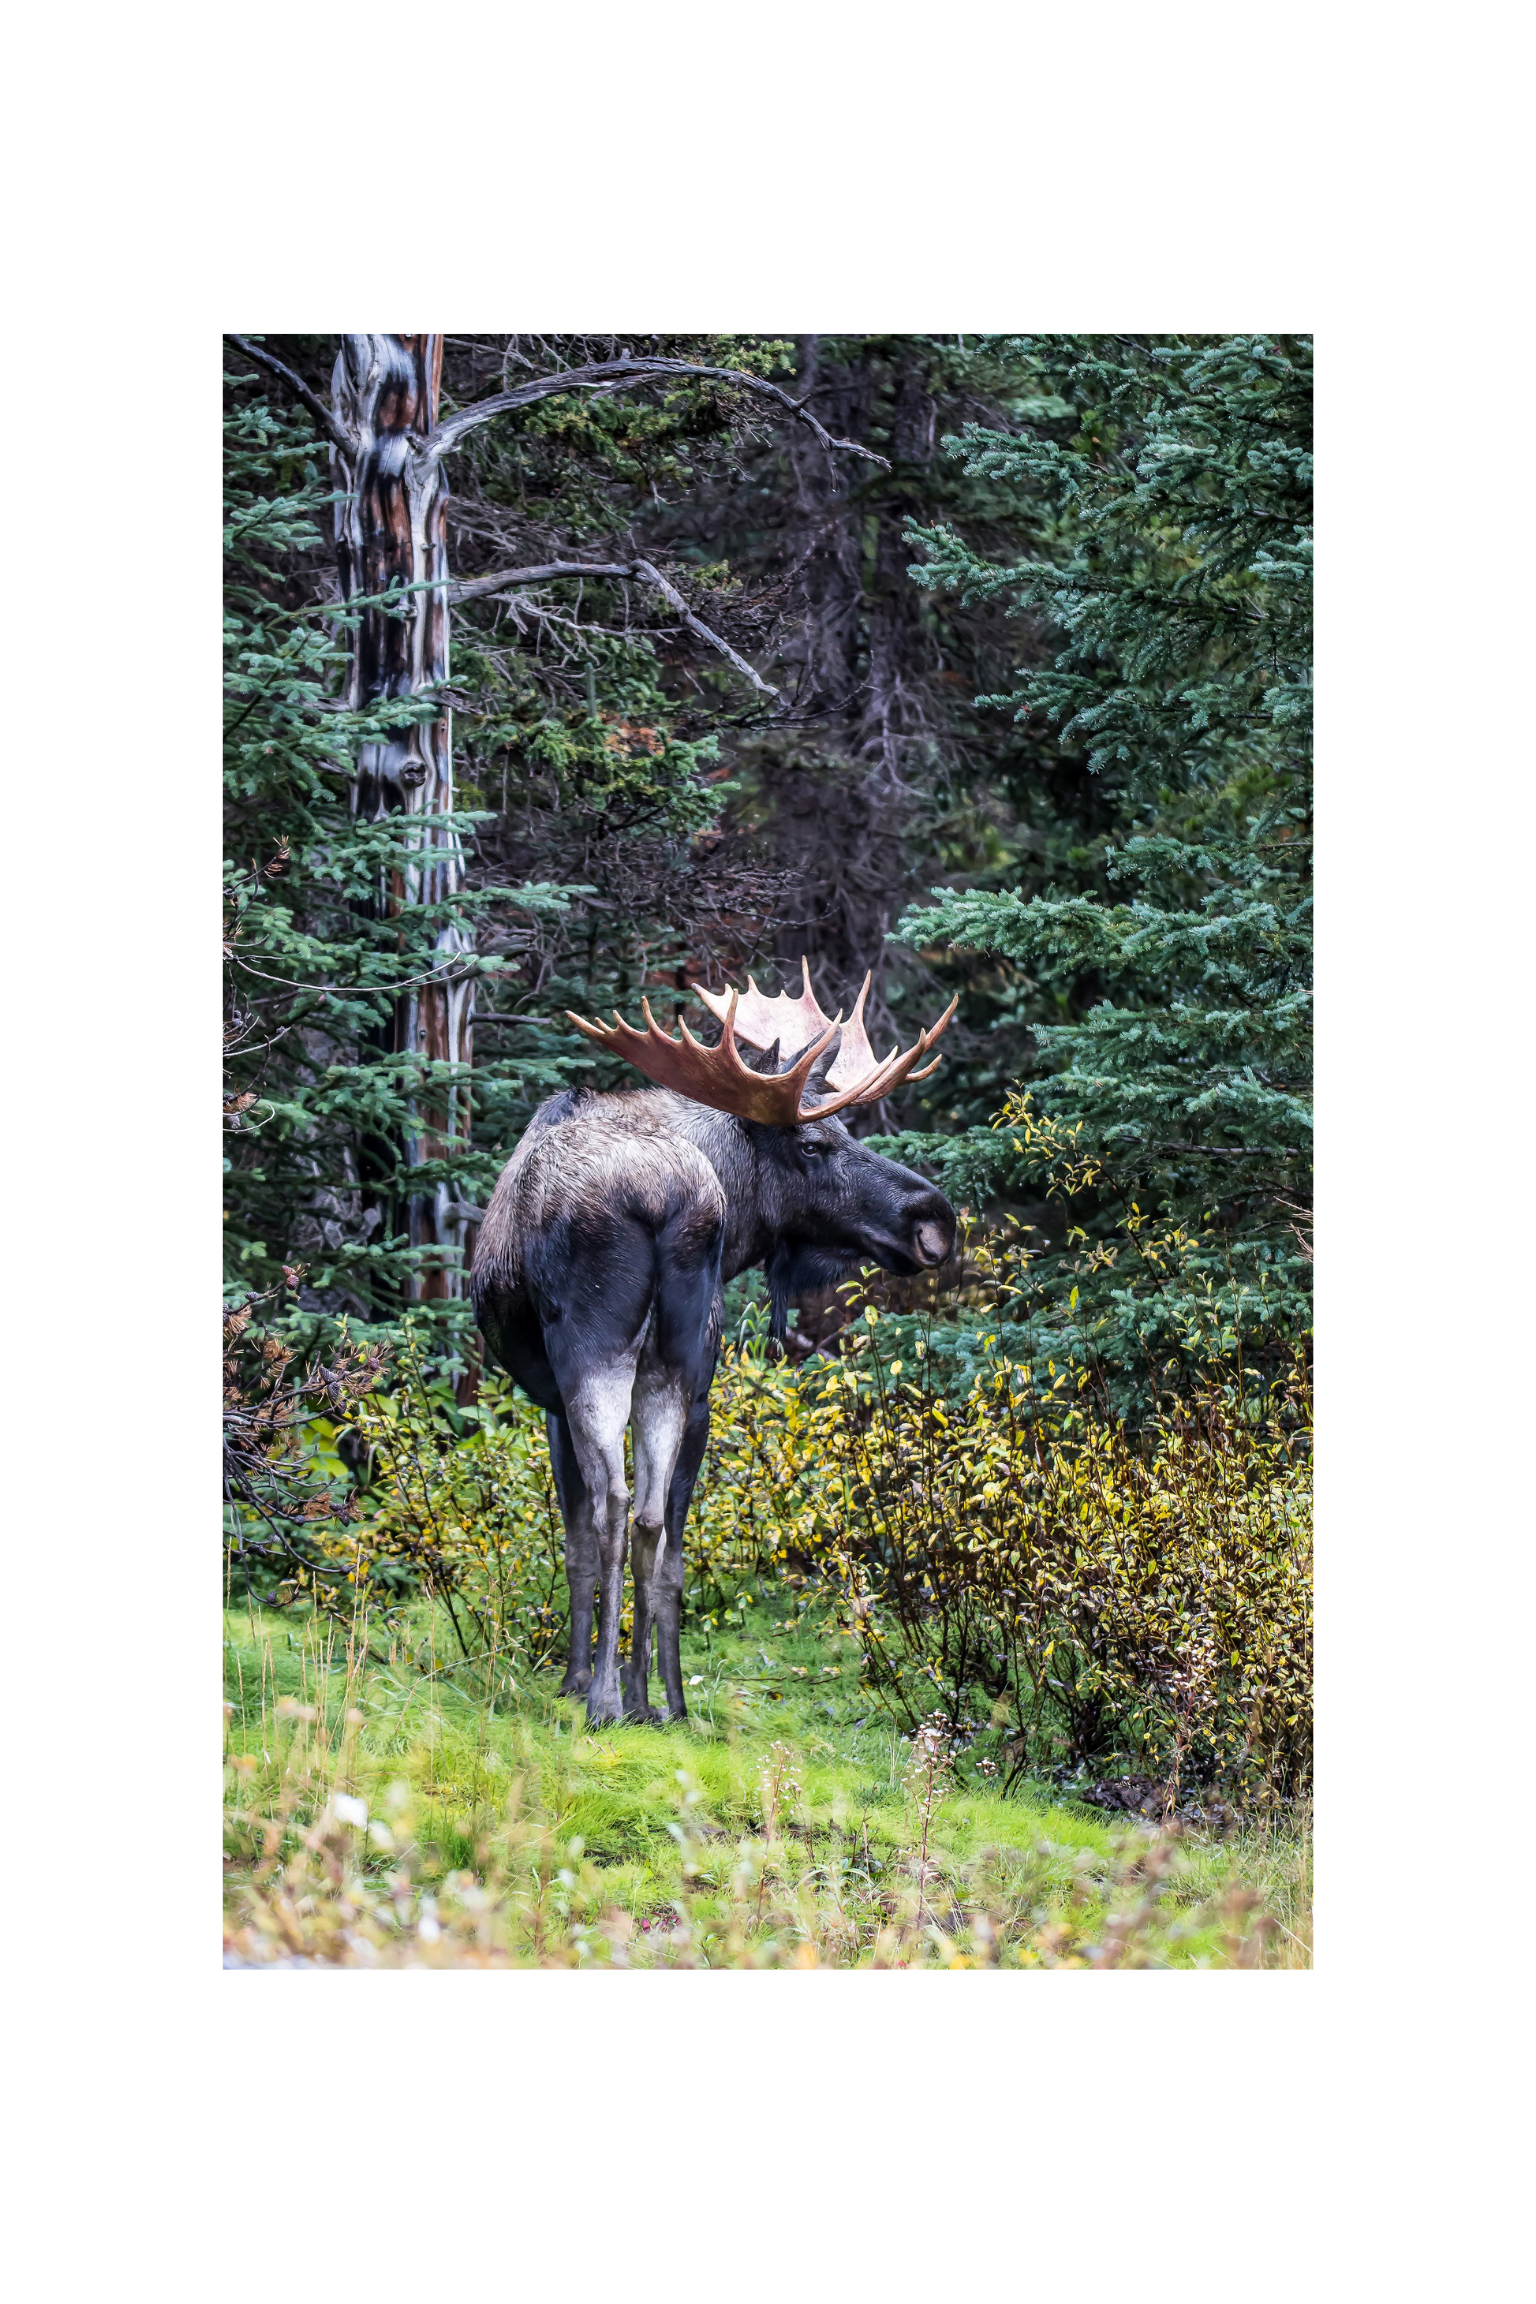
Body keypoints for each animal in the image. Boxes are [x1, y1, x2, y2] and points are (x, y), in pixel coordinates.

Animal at [469, 958, 953, 1732]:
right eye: (816, 1142)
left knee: (613, 1508)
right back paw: (652, 1700)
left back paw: (605, 1701)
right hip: (680, 1366)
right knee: (652, 1519)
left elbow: (575, 1541)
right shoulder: (699, 1381)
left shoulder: (548, 1398)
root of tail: (671, 1197)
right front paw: (662, 1694)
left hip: (592, 1349)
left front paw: (577, 1680)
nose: (934, 1220)